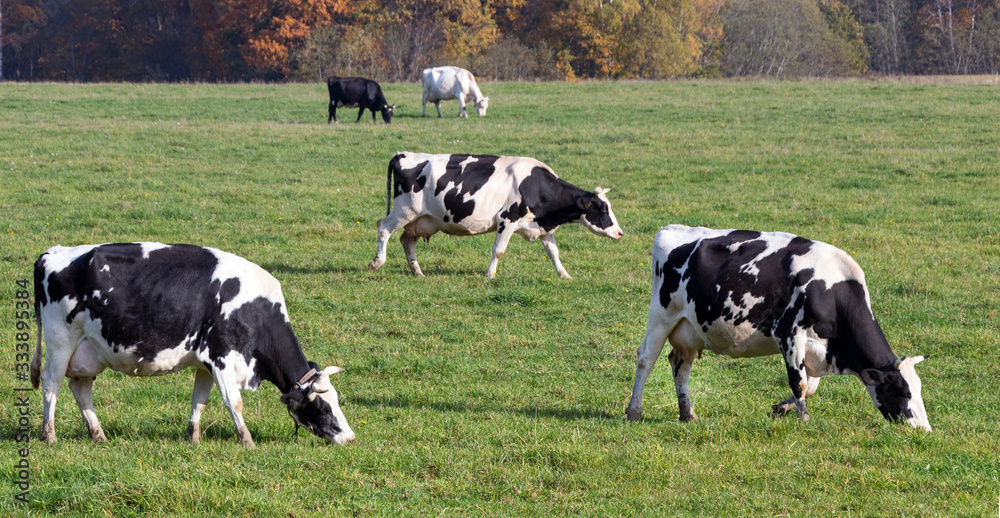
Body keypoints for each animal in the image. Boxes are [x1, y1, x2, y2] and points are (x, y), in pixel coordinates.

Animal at [31, 242, 356, 448]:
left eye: (337, 400)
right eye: (323, 407)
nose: (351, 438)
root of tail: (52, 253)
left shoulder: (205, 363)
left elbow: (199, 400)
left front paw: (193, 438)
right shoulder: (222, 357)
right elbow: (234, 401)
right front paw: (247, 441)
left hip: (88, 350)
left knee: (80, 389)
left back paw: (98, 435)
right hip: (61, 342)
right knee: (50, 385)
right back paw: (50, 436)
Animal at [368, 152, 624, 279]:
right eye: (602, 209)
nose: (620, 233)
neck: (535, 185)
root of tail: (403, 154)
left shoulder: (543, 227)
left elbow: (554, 252)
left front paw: (564, 275)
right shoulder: (507, 220)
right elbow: (498, 250)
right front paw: (490, 274)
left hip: (424, 220)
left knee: (407, 240)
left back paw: (417, 272)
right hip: (404, 210)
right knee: (383, 228)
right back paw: (377, 262)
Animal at [626, 225, 931, 431]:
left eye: (919, 390)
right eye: (903, 392)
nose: (924, 430)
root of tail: (671, 229)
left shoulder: (816, 349)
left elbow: (810, 386)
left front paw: (781, 408)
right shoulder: (789, 334)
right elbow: (800, 382)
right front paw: (803, 418)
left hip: (690, 329)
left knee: (680, 365)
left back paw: (687, 413)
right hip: (662, 315)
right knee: (646, 359)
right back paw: (634, 411)